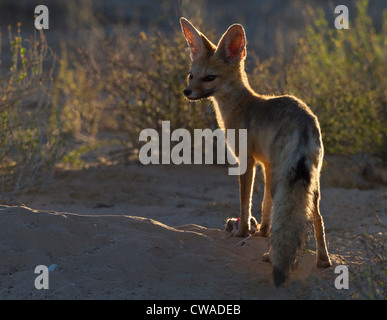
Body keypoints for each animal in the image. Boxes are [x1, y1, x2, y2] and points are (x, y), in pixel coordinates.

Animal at [180, 18, 332, 288]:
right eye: (191, 75)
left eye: (210, 77)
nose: (187, 92)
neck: (239, 105)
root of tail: (304, 122)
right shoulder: (266, 165)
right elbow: (265, 206)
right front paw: (262, 232)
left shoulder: (245, 161)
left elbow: (246, 202)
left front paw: (242, 233)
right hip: (309, 182)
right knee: (317, 216)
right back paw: (323, 260)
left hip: (284, 178)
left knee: (290, 212)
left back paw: (272, 257)